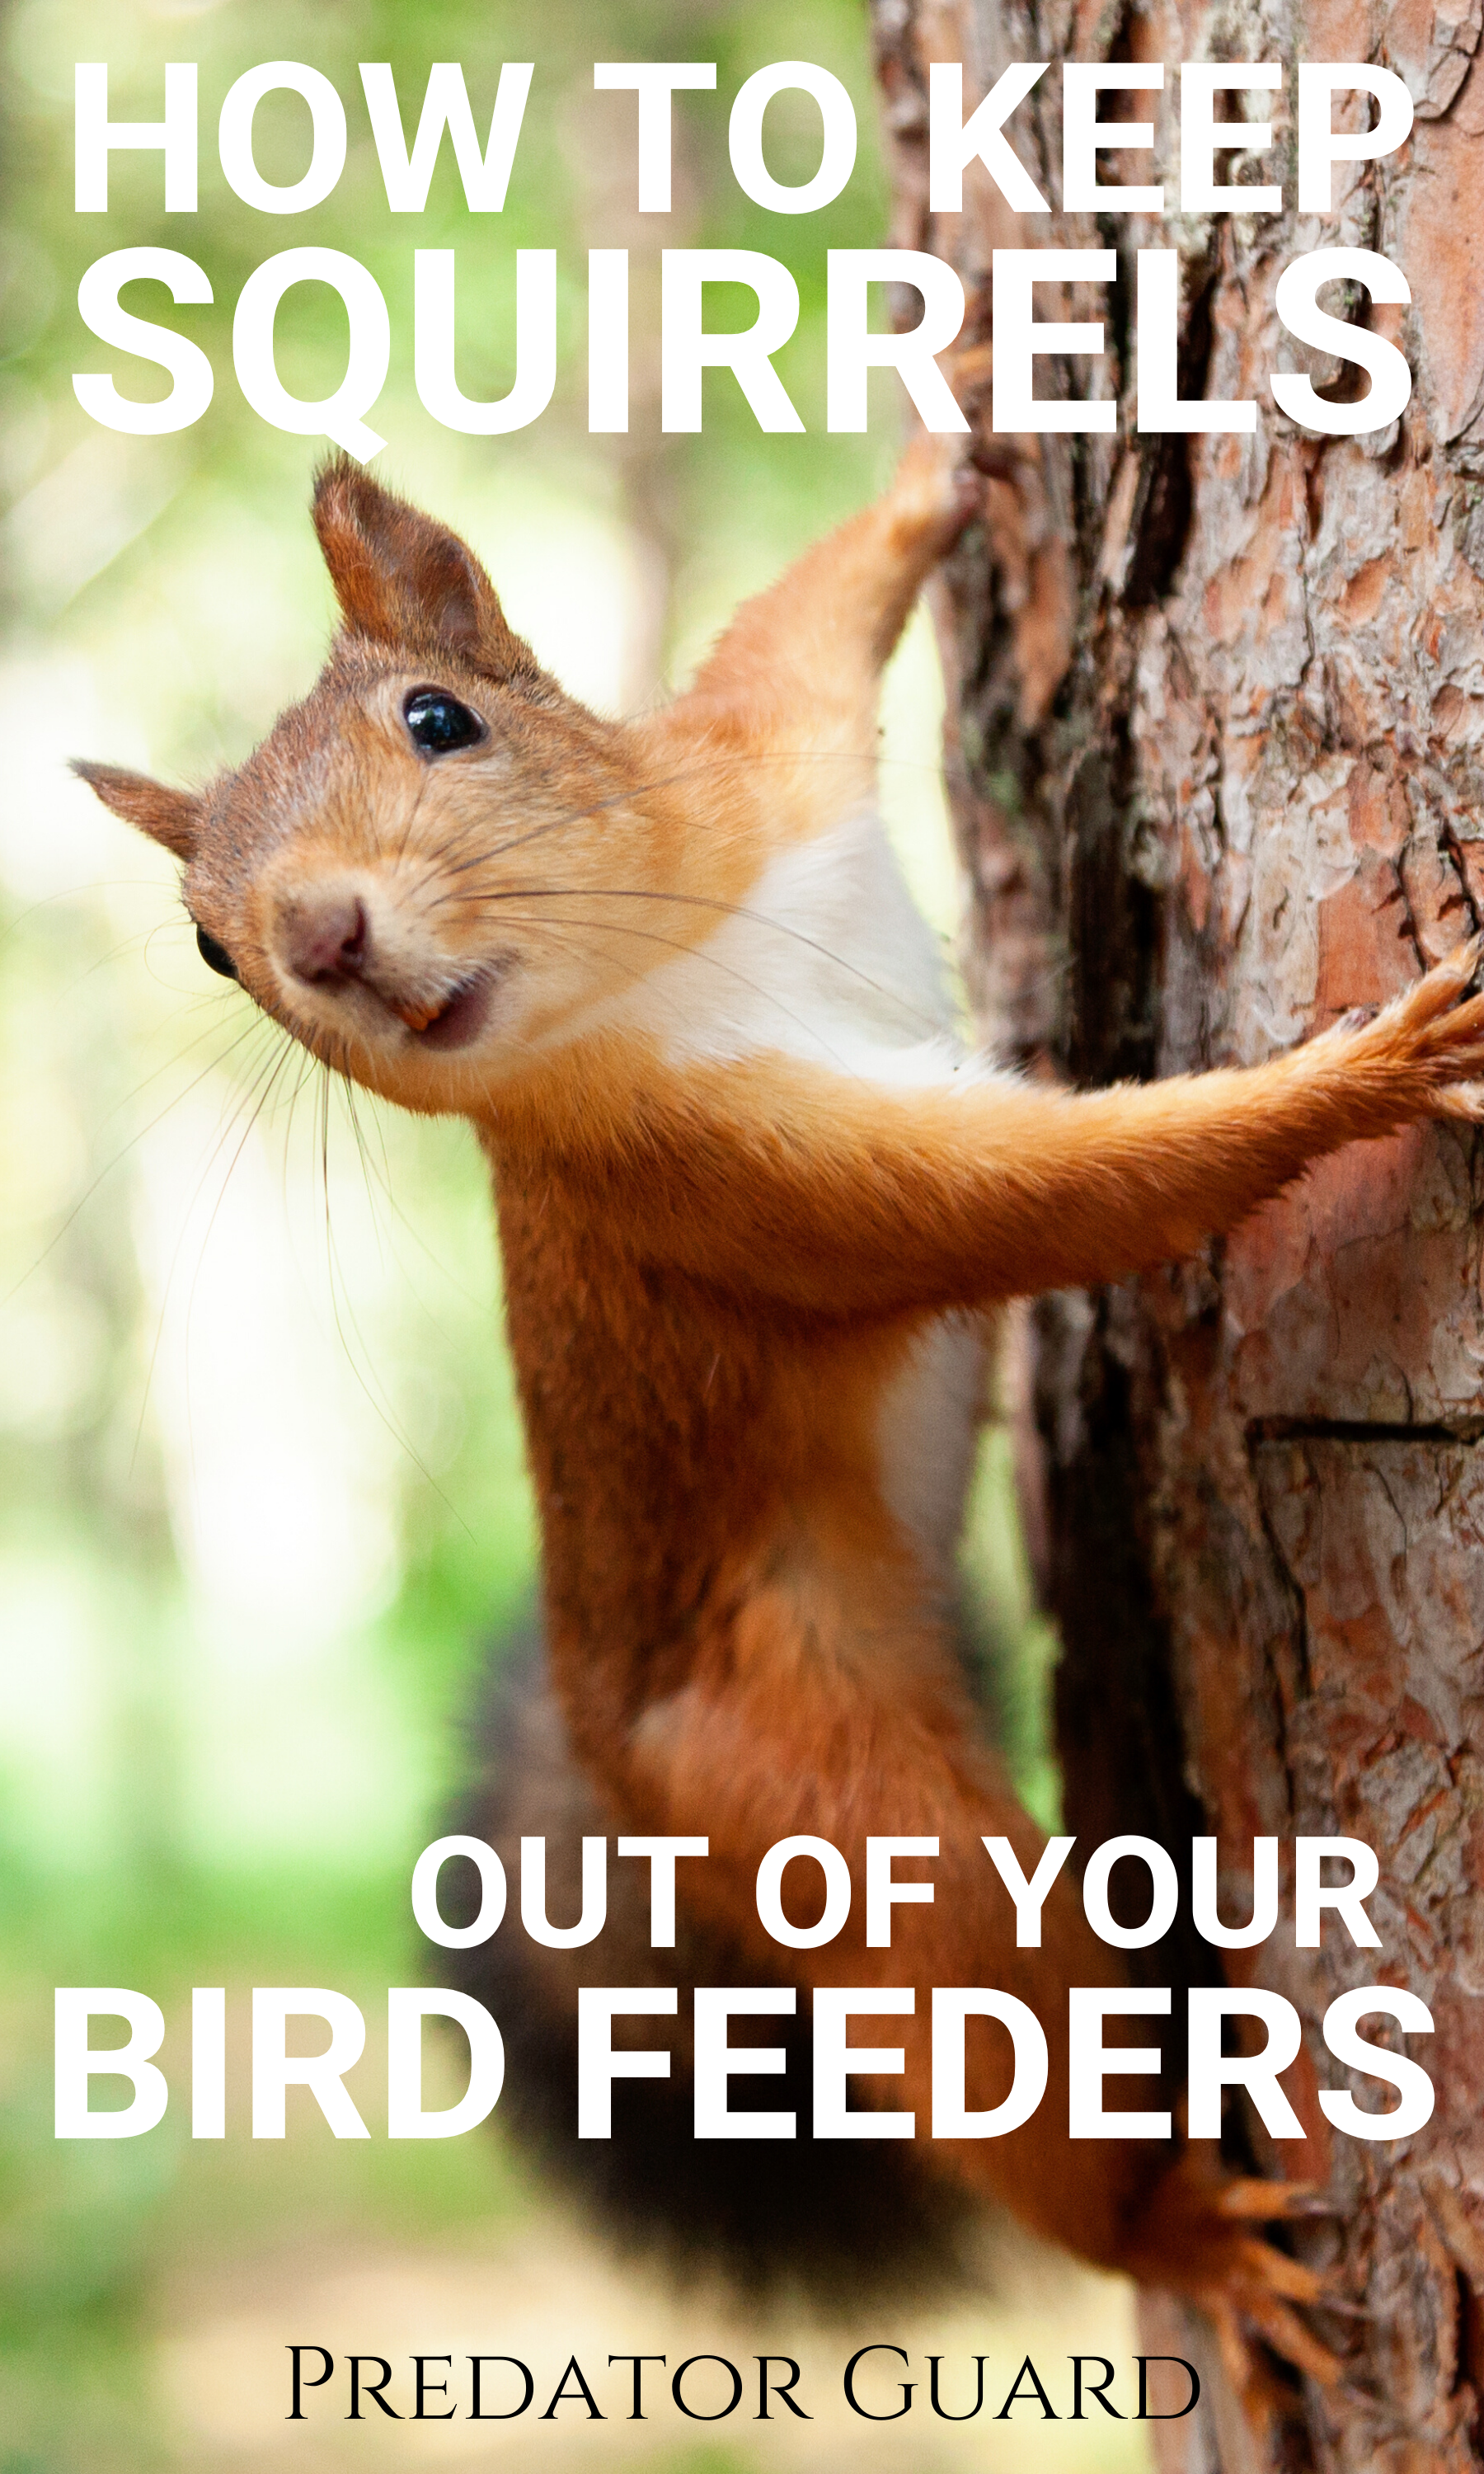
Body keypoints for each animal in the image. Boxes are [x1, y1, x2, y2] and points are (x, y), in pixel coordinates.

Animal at [77, 435, 1484, 2385]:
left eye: (440, 716)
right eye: (211, 953)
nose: (318, 936)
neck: (665, 950)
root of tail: (617, 1762)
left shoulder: (772, 757)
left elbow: (807, 619)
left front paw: (950, 432)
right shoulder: (731, 1184)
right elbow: (1060, 1199)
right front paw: (1363, 1073)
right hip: (833, 1803)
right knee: (994, 2036)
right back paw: (1186, 2234)